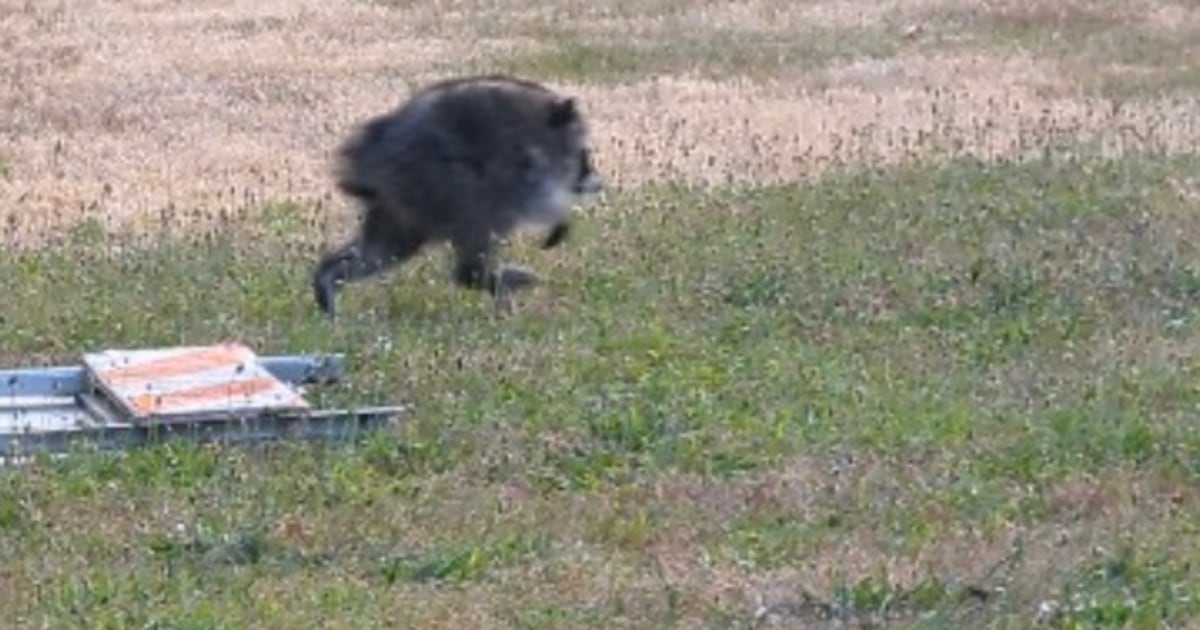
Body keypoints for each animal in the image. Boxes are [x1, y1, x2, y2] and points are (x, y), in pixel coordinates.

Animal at [312, 75, 603, 320]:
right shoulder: (520, 163)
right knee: (478, 224)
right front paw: (560, 217)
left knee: (382, 251)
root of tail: (368, 154)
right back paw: (478, 276)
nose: (598, 183)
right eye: (585, 155)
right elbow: (537, 198)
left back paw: (328, 278)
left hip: (401, 201)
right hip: (438, 181)